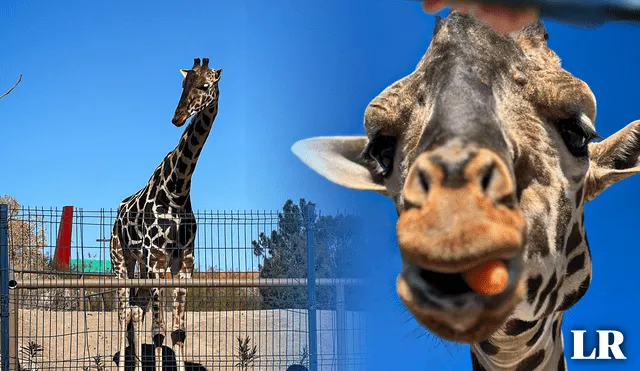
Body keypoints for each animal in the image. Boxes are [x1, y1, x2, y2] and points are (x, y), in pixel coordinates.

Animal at [109, 57, 221, 371]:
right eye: (183, 85)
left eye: (205, 85)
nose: (177, 117)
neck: (177, 189)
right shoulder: (156, 259)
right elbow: (158, 332)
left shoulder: (184, 262)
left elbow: (178, 332)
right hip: (121, 261)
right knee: (123, 312)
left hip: (141, 267)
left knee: (135, 311)